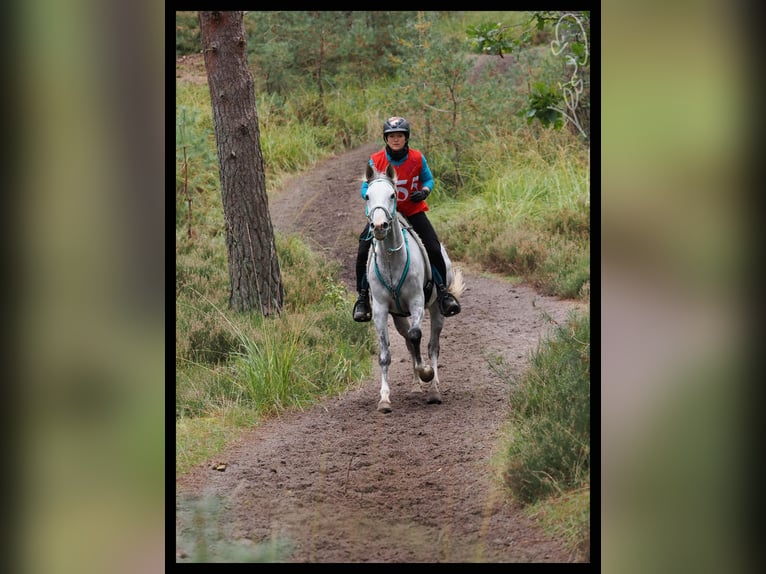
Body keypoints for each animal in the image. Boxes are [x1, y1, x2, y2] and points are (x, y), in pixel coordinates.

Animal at [364, 163, 464, 414]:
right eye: (367, 195)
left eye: (392, 195)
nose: (379, 227)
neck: (391, 260)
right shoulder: (381, 310)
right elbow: (385, 354)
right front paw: (384, 399)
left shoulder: (417, 302)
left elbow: (417, 335)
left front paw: (426, 373)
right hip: (399, 316)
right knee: (409, 342)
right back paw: (416, 385)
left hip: (437, 309)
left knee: (431, 346)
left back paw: (433, 388)